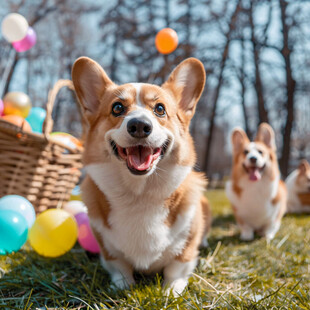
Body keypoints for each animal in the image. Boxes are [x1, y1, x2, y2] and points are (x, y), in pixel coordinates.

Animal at [71, 56, 212, 296]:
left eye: (160, 109)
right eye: (117, 108)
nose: (139, 125)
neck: (139, 193)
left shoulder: (185, 248)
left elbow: (176, 269)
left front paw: (170, 292)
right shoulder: (108, 249)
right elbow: (120, 268)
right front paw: (121, 287)